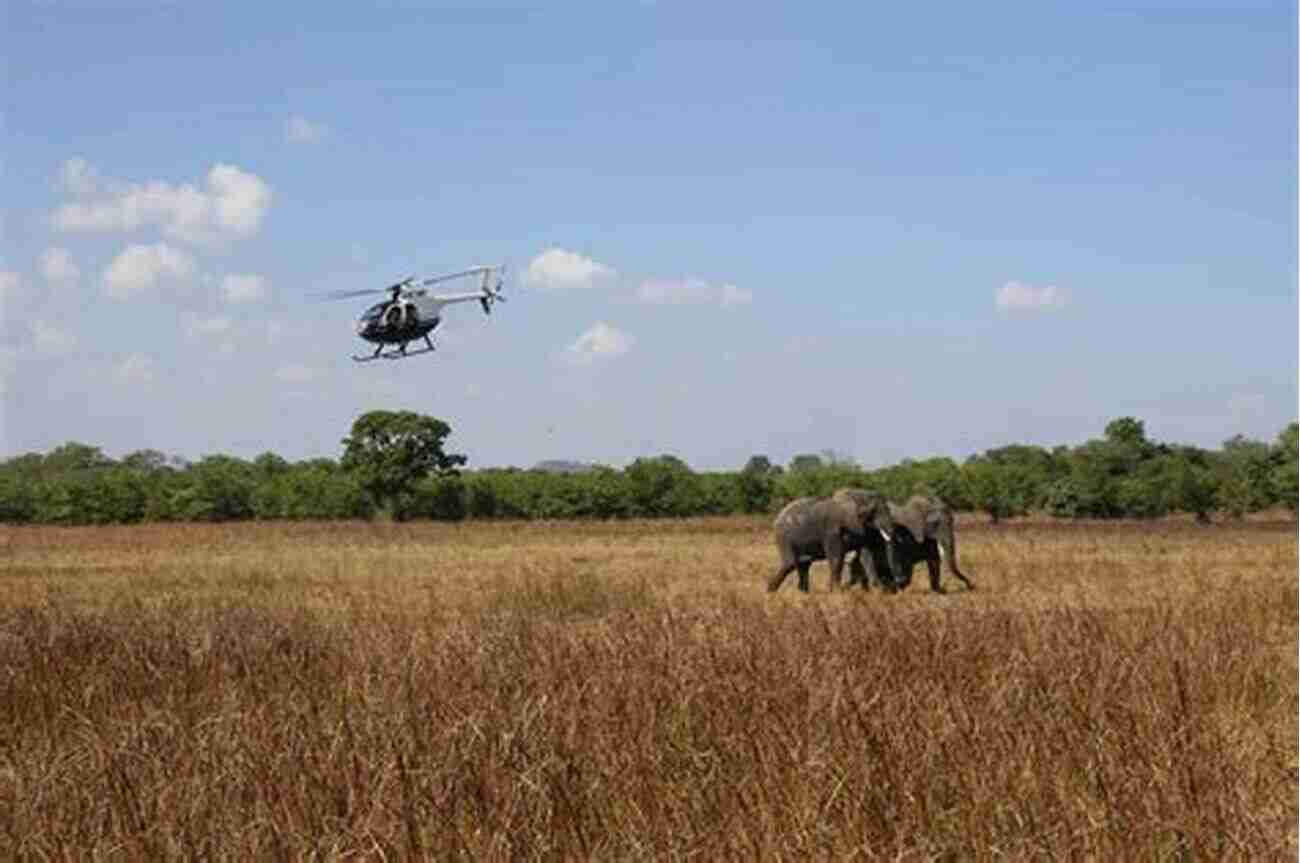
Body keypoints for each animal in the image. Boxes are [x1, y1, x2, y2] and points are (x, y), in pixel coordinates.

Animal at [764, 486, 899, 592]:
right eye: (874, 511)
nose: (895, 584)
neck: (856, 494)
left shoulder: (860, 530)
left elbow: (866, 556)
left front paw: (879, 590)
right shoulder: (832, 530)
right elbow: (836, 558)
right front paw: (837, 592)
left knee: (804, 564)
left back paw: (802, 594)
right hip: (783, 536)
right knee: (790, 563)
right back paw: (770, 591)